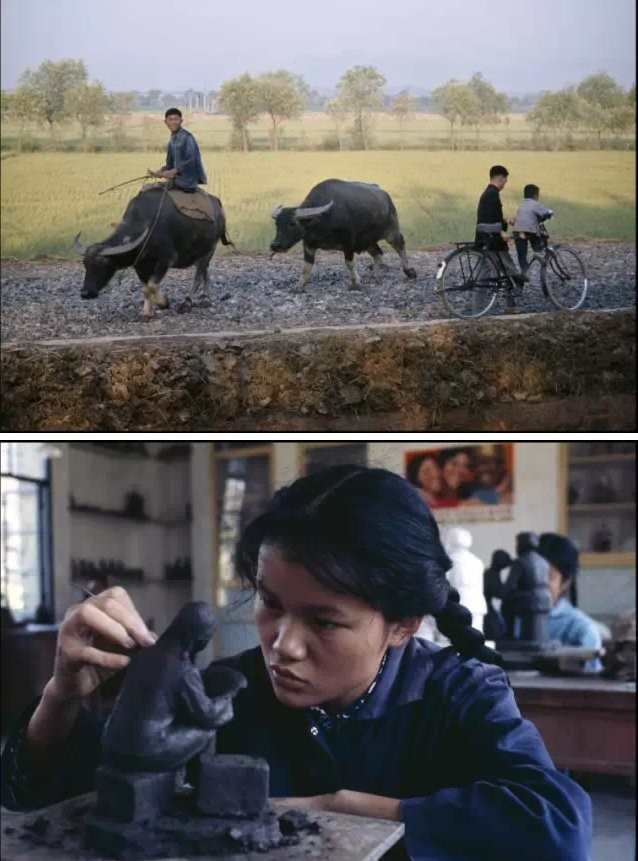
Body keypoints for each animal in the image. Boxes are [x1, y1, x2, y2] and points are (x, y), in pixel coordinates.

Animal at [74, 186, 232, 318]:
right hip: (200, 253)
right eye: (85, 265)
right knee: (205, 272)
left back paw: (186, 303)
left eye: (103, 265)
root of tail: (218, 205)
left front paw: (164, 303)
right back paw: (206, 299)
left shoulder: (166, 260)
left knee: (198, 276)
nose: (85, 293)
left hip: (209, 250)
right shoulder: (140, 265)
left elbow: (151, 286)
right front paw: (147, 312)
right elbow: (146, 288)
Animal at [272, 178, 418, 292]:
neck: (322, 221)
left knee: (400, 246)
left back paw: (409, 271)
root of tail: (385, 195)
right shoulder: (308, 245)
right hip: (367, 241)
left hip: (391, 232)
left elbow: (349, 263)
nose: (275, 245)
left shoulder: (348, 244)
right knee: (377, 254)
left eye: (292, 223)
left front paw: (355, 283)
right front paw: (299, 286)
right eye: (277, 224)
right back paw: (375, 276)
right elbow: (306, 267)